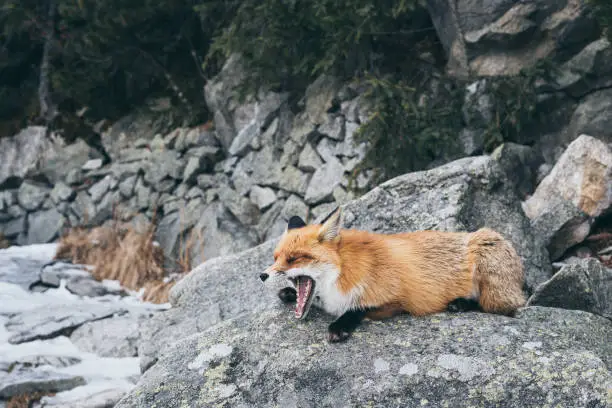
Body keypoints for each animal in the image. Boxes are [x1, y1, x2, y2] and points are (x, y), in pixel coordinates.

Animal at [258, 206, 524, 342]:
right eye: (275, 258)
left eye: (294, 259)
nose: (262, 276)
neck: (342, 272)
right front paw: (288, 293)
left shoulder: (400, 299)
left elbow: (358, 308)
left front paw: (340, 325)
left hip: (490, 266)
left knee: (506, 308)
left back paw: (461, 303)